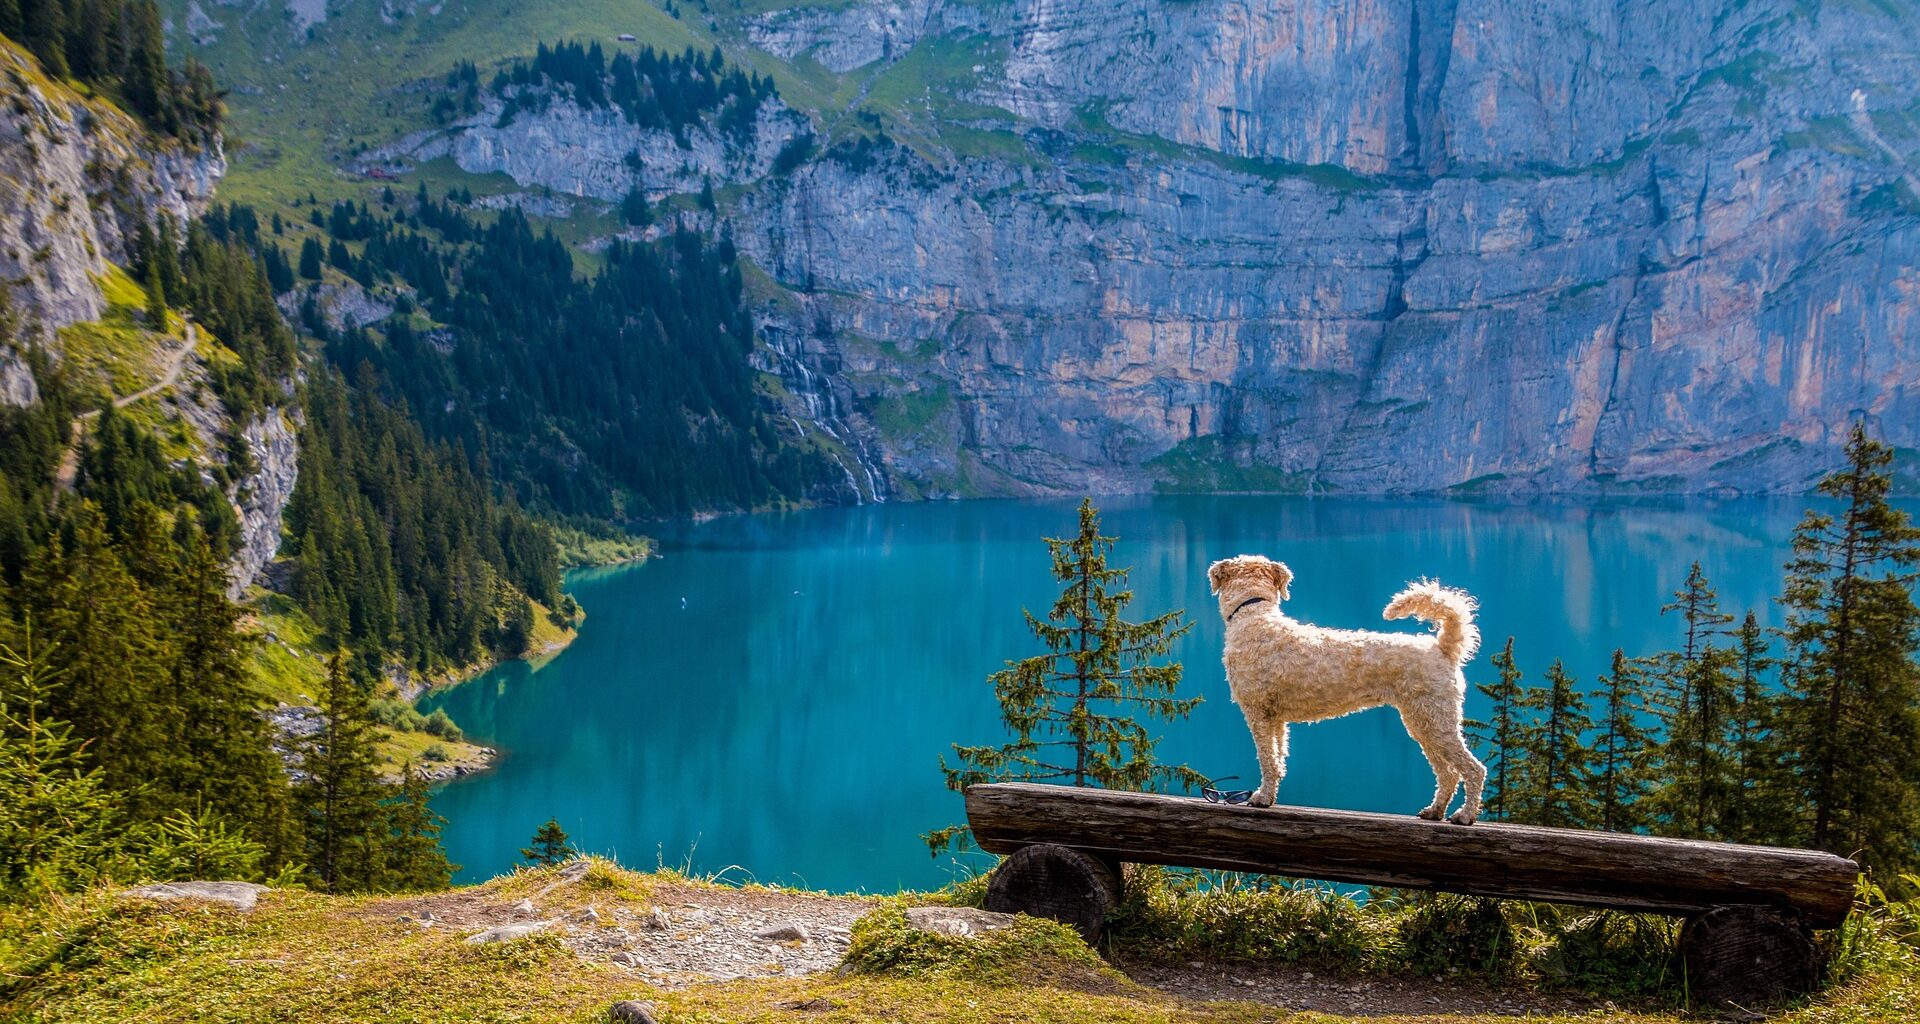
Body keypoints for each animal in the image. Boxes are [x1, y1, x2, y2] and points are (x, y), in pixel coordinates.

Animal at [1205, 549, 1489, 822]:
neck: (1253, 615)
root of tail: (1443, 648)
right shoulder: (1275, 719)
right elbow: (1278, 759)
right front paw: (1269, 795)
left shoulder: (1258, 713)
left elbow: (1267, 760)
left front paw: (1262, 798)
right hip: (1423, 722)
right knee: (1448, 772)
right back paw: (1434, 811)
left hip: (1435, 720)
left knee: (1474, 769)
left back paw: (1465, 815)